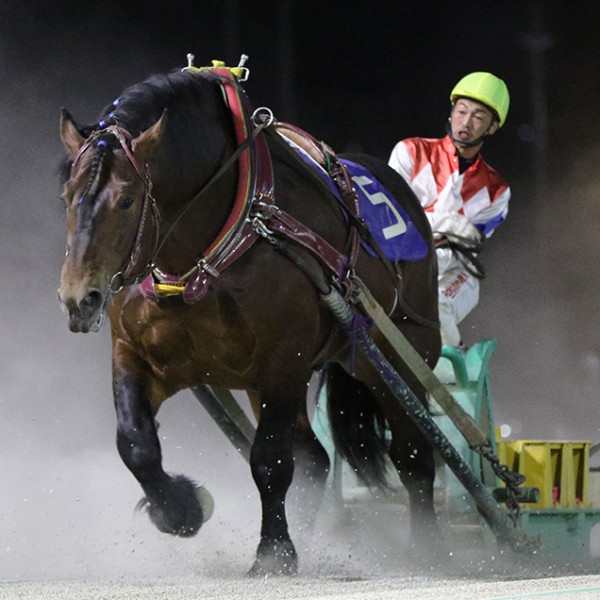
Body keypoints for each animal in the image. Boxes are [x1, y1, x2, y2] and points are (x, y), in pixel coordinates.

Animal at [57, 58, 440, 576]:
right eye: (66, 196)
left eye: (126, 199)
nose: (79, 298)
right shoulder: (135, 353)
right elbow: (135, 444)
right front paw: (181, 508)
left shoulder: (285, 360)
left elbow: (271, 460)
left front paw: (274, 551)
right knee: (316, 458)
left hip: (397, 358)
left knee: (414, 456)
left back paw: (430, 550)